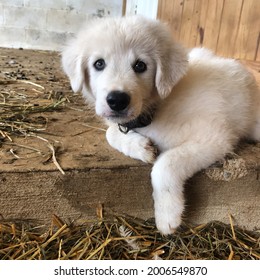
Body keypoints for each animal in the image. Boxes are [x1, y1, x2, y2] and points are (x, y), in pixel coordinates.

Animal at [61, 16, 260, 235]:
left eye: (140, 66)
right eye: (99, 63)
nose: (117, 100)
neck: (156, 109)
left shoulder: (214, 137)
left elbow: (165, 164)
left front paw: (167, 215)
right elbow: (110, 131)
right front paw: (141, 147)